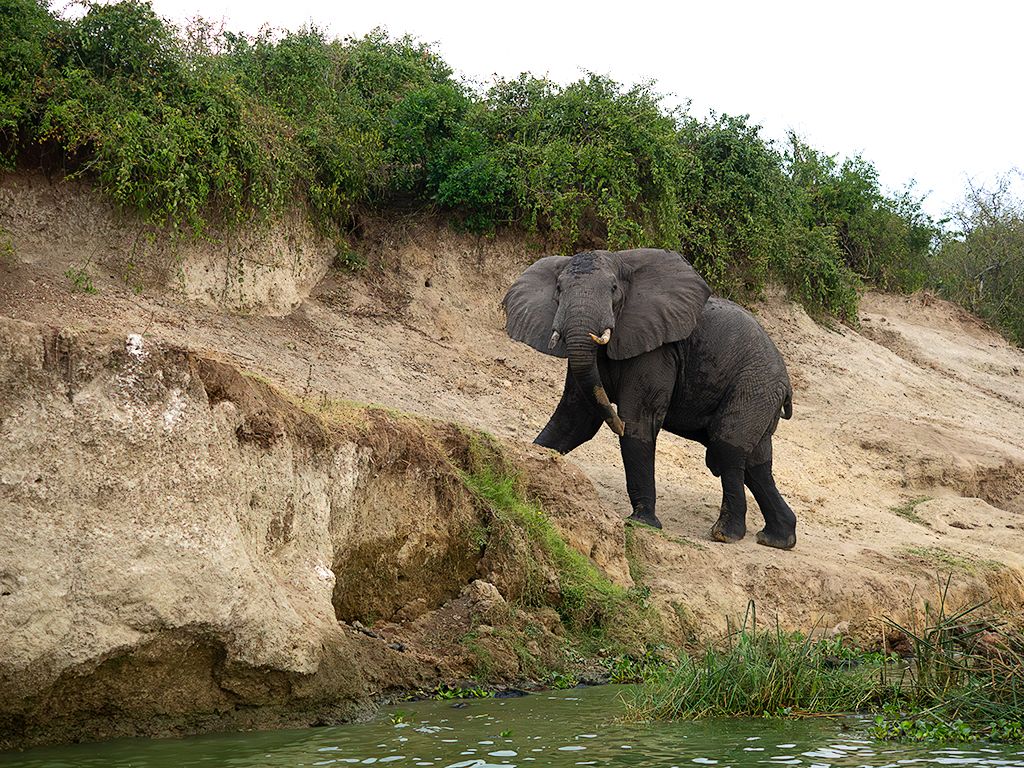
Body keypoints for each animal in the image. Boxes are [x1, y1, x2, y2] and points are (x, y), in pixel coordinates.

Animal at [502, 248, 797, 549]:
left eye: (613, 289)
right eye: (559, 290)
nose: (615, 422)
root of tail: (785, 381)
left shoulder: (656, 351)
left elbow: (638, 423)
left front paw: (642, 522)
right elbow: (574, 420)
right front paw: (525, 460)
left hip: (754, 385)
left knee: (728, 449)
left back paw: (726, 534)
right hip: (760, 393)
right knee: (756, 463)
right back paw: (777, 538)